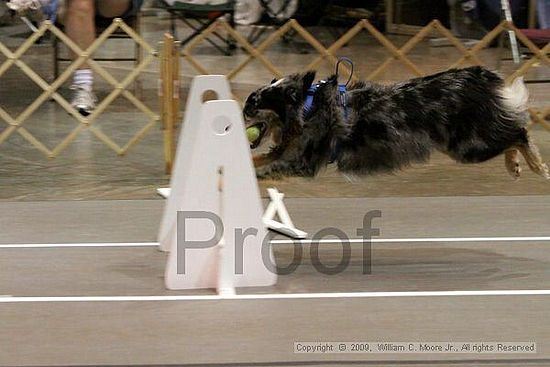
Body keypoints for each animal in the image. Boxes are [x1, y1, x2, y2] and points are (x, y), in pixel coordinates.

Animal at [245, 67, 550, 182]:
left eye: (253, 107)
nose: (241, 112)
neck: (306, 106)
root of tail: (476, 75)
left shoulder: (303, 162)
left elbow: (268, 168)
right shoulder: (288, 150)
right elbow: (261, 158)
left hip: (467, 146)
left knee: (519, 132)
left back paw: (535, 165)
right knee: (511, 131)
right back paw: (515, 165)